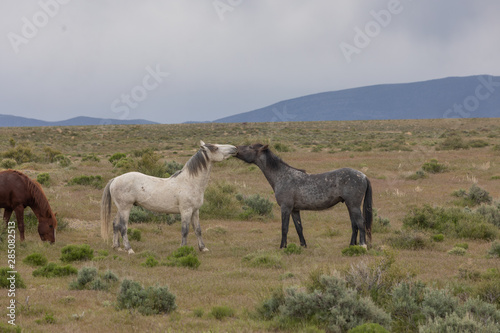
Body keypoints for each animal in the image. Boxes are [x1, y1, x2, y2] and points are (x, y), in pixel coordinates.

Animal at [100, 139, 237, 252]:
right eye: (216, 148)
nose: (234, 148)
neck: (189, 182)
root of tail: (115, 179)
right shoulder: (186, 211)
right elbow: (185, 231)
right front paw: (183, 249)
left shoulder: (195, 211)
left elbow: (198, 230)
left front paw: (203, 248)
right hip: (125, 208)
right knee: (123, 227)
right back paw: (129, 249)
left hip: (121, 208)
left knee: (115, 224)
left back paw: (117, 247)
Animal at [234, 144, 372, 248]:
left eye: (250, 147)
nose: (235, 149)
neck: (282, 176)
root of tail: (363, 176)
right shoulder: (295, 210)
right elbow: (299, 227)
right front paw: (303, 245)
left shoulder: (285, 208)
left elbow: (284, 228)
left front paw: (282, 247)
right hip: (350, 205)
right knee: (354, 224)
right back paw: (351, 245)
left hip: (353, 205)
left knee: (360, 222)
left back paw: (362, 245)